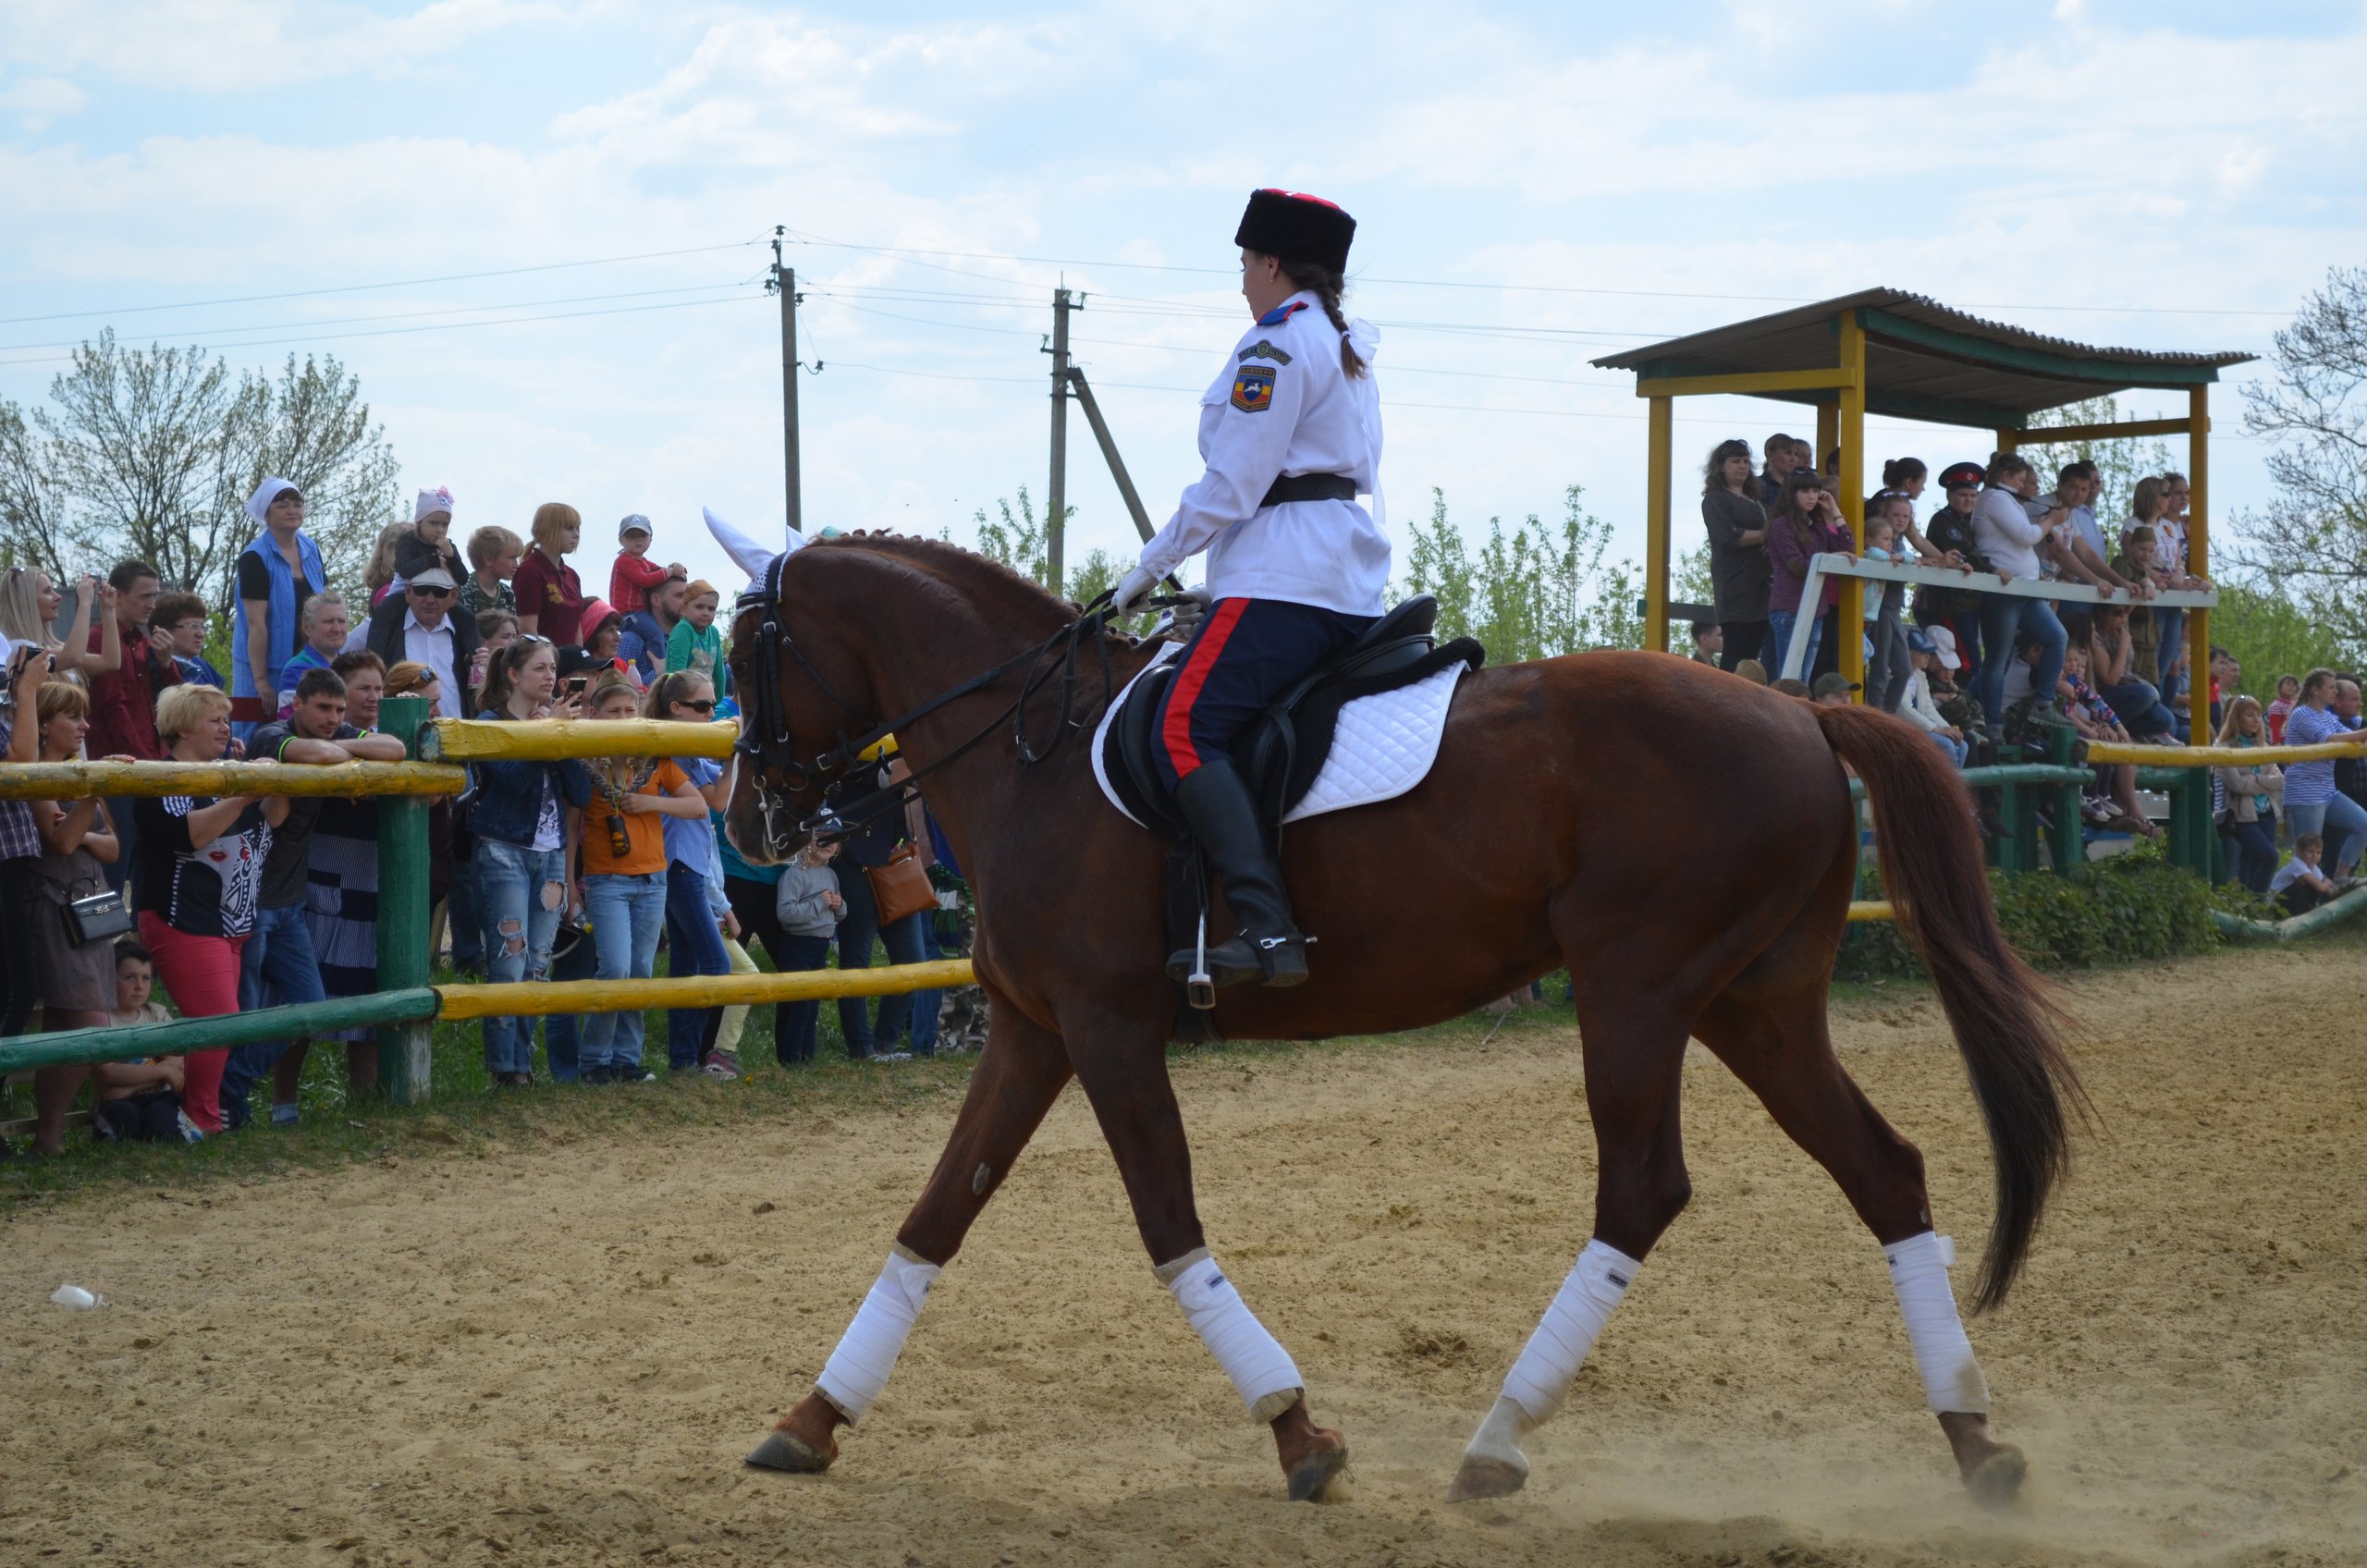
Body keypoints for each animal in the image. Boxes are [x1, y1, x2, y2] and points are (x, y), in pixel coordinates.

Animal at [719, 540, 2073, 1515]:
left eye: (749, 653)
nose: (750, 820)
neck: (1034, 754)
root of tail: (1797, 711)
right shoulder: (1029, 1032)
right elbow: (933, 1216)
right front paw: (808, 1421)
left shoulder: (1106, 1030)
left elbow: (1166, 1224)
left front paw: (1298, 1435)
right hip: (1754, 1004)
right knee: (1881, 1168)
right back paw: (1976, 1443)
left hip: (1638, 989)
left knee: (1642, 1189)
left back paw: (1497, 1444)